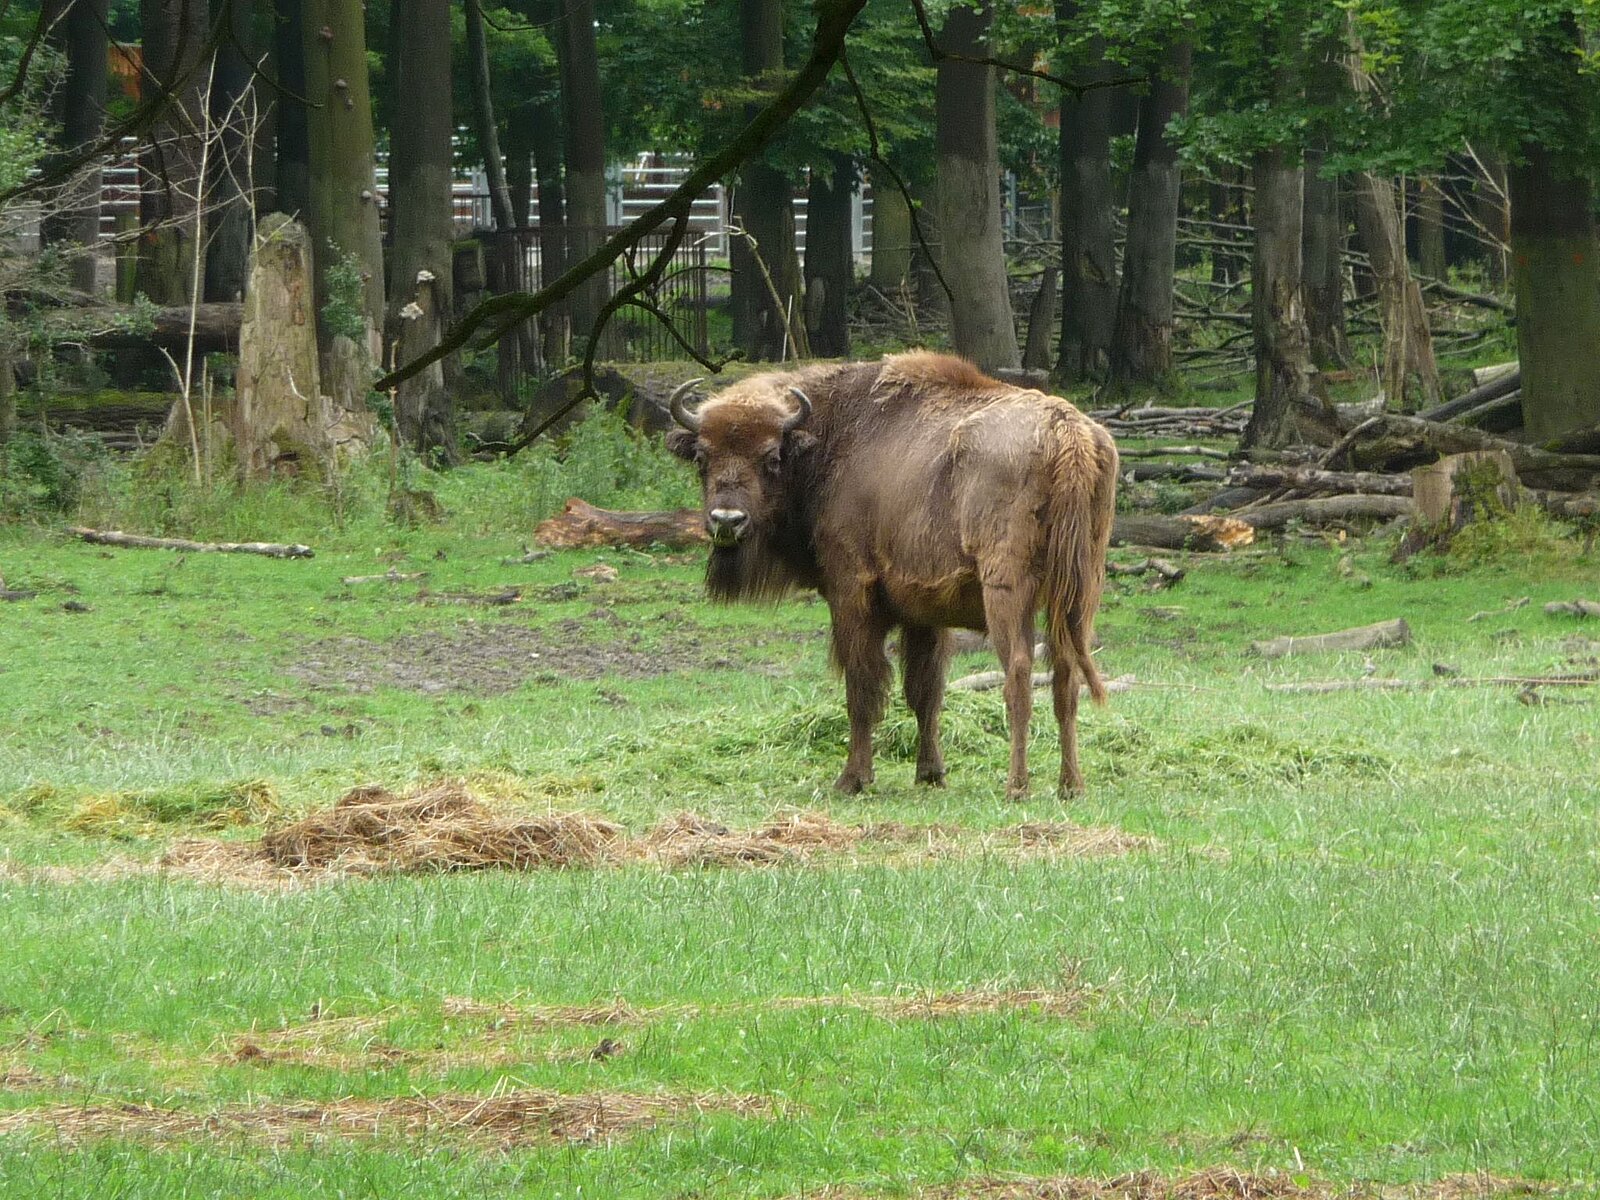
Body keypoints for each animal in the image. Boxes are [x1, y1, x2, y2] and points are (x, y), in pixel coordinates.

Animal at [668, 350, 1120, 800]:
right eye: (701, 457)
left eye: (772, 457)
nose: (727, 520)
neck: (831, 437)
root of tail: (1066, 432)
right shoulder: (924, 613)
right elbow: (925, 692)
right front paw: (931, 773)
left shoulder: (851, 593)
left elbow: (862, 687)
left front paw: (852, 779)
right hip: (1078, 595)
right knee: (1065, 676)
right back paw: (1070, 786)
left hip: (1007, 591)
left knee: (1020, 675)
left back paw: (1017, 787)